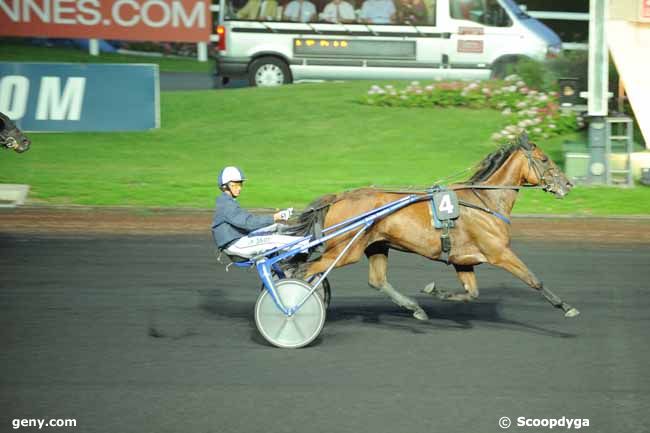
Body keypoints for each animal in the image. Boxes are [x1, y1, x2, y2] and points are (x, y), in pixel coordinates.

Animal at [292, 135, 576, 320]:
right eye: (544, 159)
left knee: (377, 280)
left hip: (376, 245)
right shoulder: (499, 252)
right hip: (345, 251)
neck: (485, 201)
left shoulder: (463, 260)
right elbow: (534, 279)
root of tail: (339, 197)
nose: (568, 184)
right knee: (305, 271)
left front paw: (435, 292)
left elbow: (472, 293)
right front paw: (565, 306)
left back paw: (415, 308)